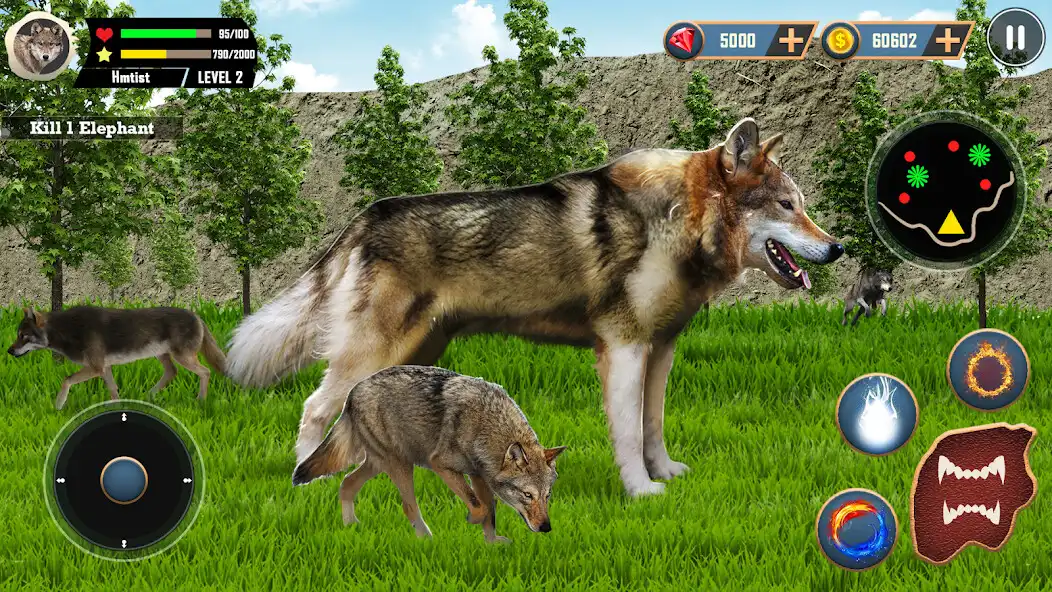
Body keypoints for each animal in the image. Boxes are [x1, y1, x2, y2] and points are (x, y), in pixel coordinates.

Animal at [6, 306, 226, 409]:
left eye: (23, 336)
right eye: (18, 335)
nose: (9, 351)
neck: (67, 330)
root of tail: (197, 315)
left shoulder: (95, 367)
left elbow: (66, 379)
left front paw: (59, 405)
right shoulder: (105, 368)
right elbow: (113, 390)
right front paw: (117, 407)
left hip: (182, 357)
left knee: (205, 372)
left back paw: (201, 401)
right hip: (164, 356)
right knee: (172, 372)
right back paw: (149, 396)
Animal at [226, 117, 843, 497]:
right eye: (787, 206)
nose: (838, 247)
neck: (677, 221)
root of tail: (367, 214)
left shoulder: (660, 348)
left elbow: (653, 426)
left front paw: (664, 472)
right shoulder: (623, 347)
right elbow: (627, 433)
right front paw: (641, 491)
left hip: (415, 355)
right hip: (373, 353)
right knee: (314, 408)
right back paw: (308, 478)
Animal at [292, 365, 566, 543]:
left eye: (548, 495)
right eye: (527, 495)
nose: (546, 527)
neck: (485, 424)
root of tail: (352, 392)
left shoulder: (478, 475)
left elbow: (490, 509)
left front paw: (492, 543)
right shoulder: (441, 466)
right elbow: (480, 508)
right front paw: (471, 520)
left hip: (379, 464)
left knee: (346, 484)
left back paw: (350, 526)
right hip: (401, 466)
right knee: (408, 507)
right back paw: (428, 540)